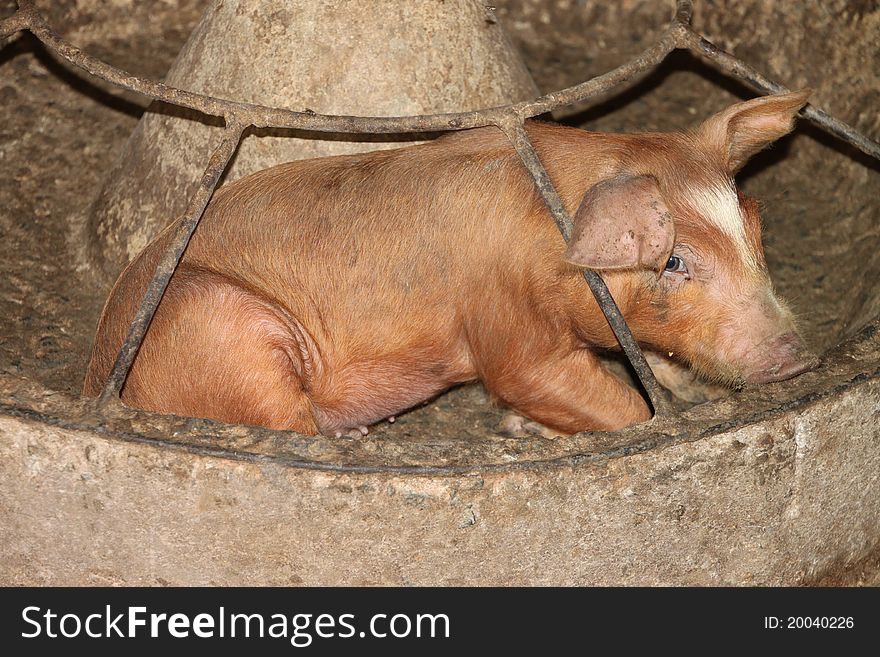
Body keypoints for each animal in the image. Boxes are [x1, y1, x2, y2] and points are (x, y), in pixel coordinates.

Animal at [84, 87, 820, 436]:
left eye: (756, 230)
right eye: (672, 262)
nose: (800, 355)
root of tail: (99, 373)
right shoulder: (506, 324)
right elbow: (574, 392)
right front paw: (523, 424)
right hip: (223, 328)